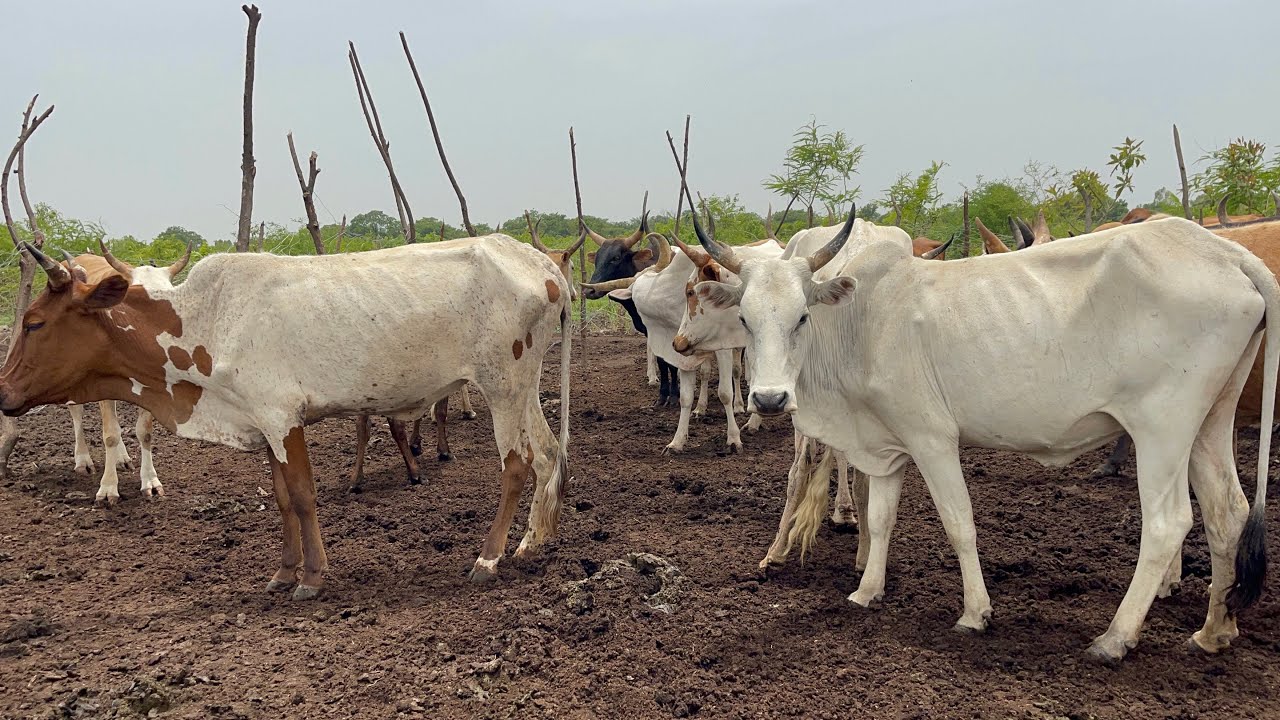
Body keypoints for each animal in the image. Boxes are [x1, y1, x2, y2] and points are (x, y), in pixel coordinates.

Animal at [0, 235, 573, 599]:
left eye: (34, 322)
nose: (2, 392)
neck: (204, 323)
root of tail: (542, 266)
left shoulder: (282, 419)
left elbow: (301, 495)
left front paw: (312, 578)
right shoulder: (262, 422)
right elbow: (280, 499)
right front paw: (282, 572)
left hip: (503, 386)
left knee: (517, 464)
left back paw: (488, 558)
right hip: (524, 389)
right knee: (549, 453)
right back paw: (533, 541)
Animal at [687, 205, 1276, 664]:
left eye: (803, 316)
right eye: (745, 317)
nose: (768, 399)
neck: (863, 324)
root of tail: (1227, 254)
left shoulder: (931, 439)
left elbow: (959, 524)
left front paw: (975, 612)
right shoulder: (887, 446)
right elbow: (879, 519)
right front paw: (867, 591)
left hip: (1162, 428)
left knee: (1167, 523)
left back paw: (1114, 638)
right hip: (1208, 425)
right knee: (1228, 514)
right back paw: (1214, 631)